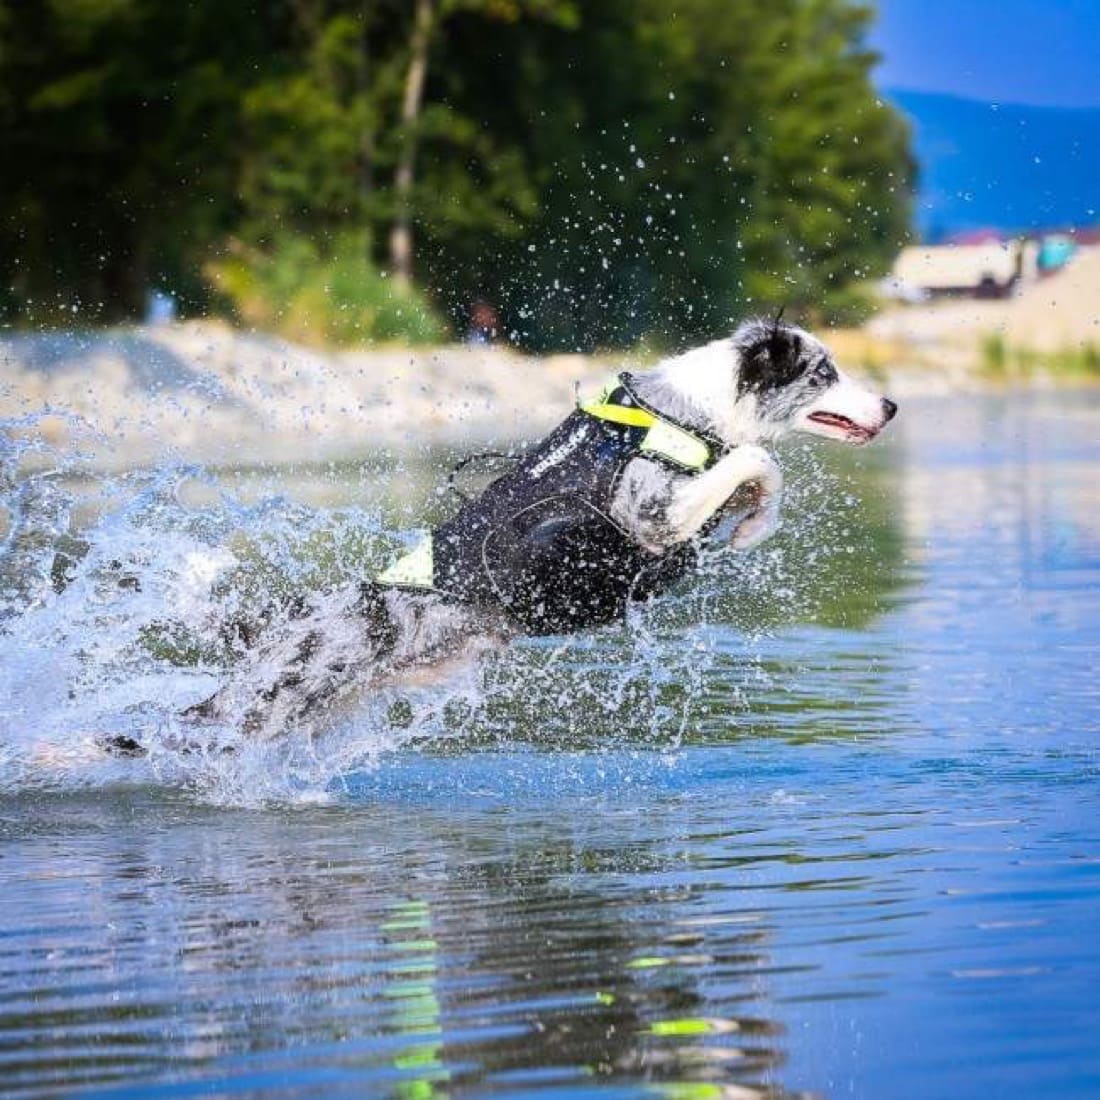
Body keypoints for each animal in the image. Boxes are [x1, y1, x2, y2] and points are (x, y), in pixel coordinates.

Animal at [178, 314, 893, 743]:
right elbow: (758, 458)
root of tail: (292, 617)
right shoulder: (650, 514)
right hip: (267, 700)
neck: (685, 413)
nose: (890, 404)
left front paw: (752, 526)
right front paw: (750, 521)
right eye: (825, 374)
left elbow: (758, 473)